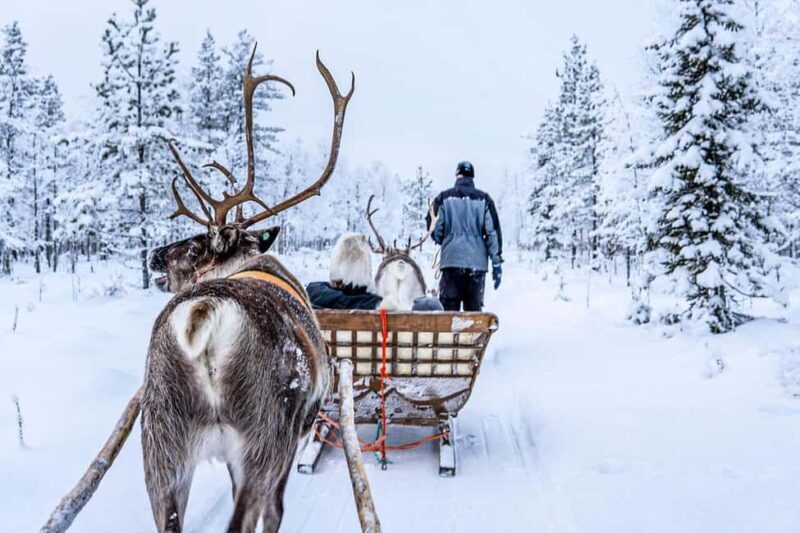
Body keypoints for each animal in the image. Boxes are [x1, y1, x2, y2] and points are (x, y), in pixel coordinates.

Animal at [141, 44, 353, 533]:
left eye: (195, 244)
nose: (154, 255)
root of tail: (204, 313)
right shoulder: (295, 432)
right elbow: (275, 511)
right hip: (265, 435)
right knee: (254, 513)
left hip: (161, 443)